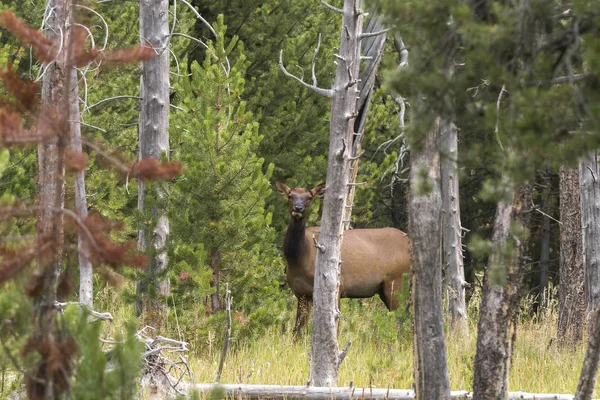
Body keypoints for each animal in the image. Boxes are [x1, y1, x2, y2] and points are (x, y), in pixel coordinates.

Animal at [276, 180, 412, 336]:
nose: (298, 208)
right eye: (290, 195)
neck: (301, 258)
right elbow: (297, 331)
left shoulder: (338, 287)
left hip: (396, 282)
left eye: (309, 197)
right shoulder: (301, 293)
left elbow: (335, 328)